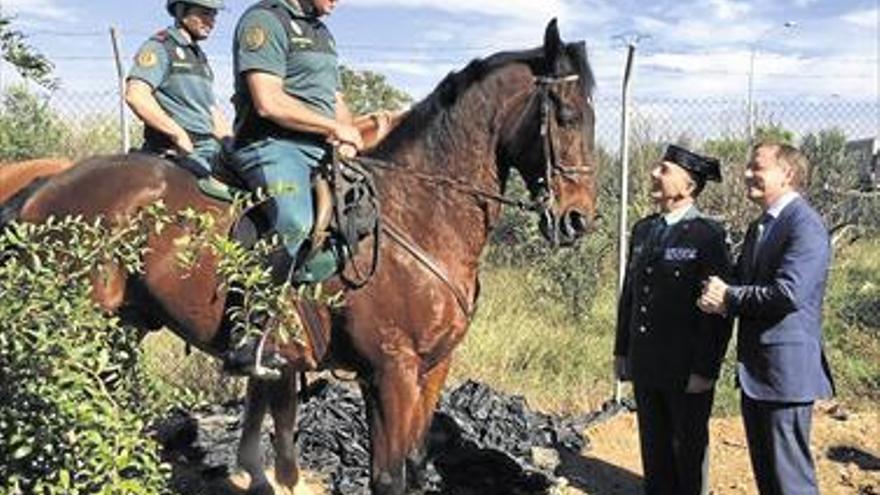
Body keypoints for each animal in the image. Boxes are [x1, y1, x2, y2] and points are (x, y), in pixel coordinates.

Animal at [3, 20, 600, 495]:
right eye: (565, 115)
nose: (578, 220)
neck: (420, 213)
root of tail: (42, 187)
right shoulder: (390, 373)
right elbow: (388, 477)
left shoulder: (432, 370)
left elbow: (414, 466)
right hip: (71, 332)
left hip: (119, 327)